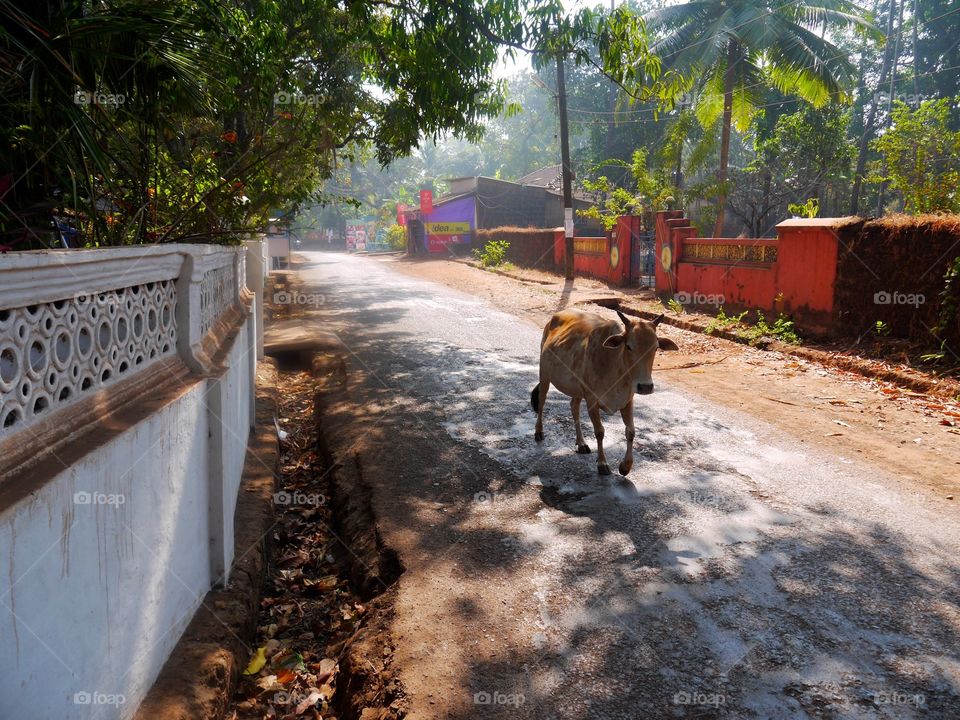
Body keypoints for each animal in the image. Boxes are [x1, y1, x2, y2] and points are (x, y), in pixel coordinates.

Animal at [528, 306, 680, 476]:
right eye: (628, 346)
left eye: (655, 347)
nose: (645, 386)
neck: (615, 367)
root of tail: (554, 318)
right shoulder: (592, 400)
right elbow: (600, 432)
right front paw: (602, 463)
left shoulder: (627, 400)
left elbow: (631, 432)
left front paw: (625, 466)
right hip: (544, 375)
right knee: (542, 401)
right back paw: (539, 432)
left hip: (578, 389)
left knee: (574, 406)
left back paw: (581, 443)